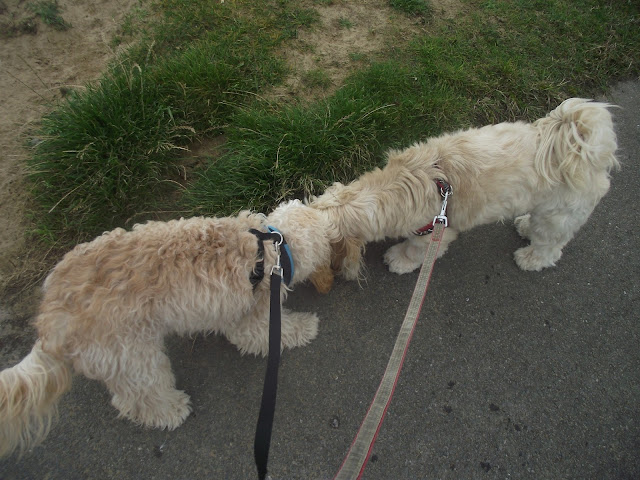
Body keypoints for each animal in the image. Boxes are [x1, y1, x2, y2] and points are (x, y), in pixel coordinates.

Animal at [0, 199, 342, 457]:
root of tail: (50, 315)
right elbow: (273, 333)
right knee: (137, 398)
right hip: (133, 356)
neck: (272, 249)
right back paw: (170, 410)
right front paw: (306, 326)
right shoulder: (251, 318)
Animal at [310, 98, 619, 278]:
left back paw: (531, 258)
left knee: (551, 245)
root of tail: (580, 149)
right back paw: (525, 226)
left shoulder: (433, 232)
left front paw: (400, 259)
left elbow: (415, 251)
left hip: (559, 215)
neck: (406, 181)